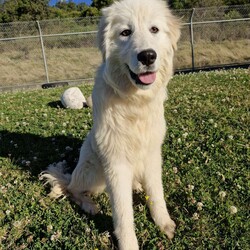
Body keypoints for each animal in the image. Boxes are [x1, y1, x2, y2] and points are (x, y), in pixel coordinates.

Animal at [42, 0, 181, 249]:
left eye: (154, 29)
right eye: (125, 32)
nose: (147, 56)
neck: (135, 102)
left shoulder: (152, 155)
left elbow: (157, 194)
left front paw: (163, 223)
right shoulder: (116, 165)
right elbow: (123, 214)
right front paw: (129, 244)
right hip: (93, 169)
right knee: (72, 189)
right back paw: (89, 204)